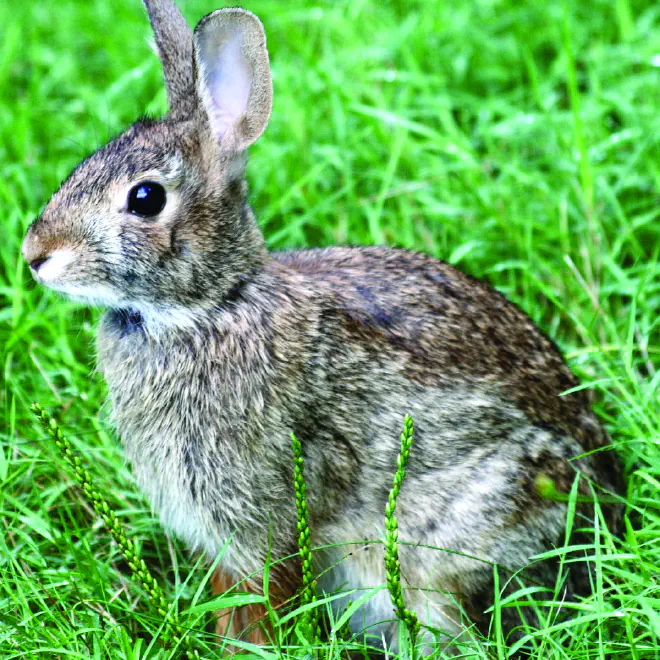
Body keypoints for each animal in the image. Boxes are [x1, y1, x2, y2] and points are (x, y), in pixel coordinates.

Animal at [21, 0, 624, 648]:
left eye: (145, 198)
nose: (34, 254)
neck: (215, 305)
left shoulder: (262, 516)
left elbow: (263, 598)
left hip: (451, 552)